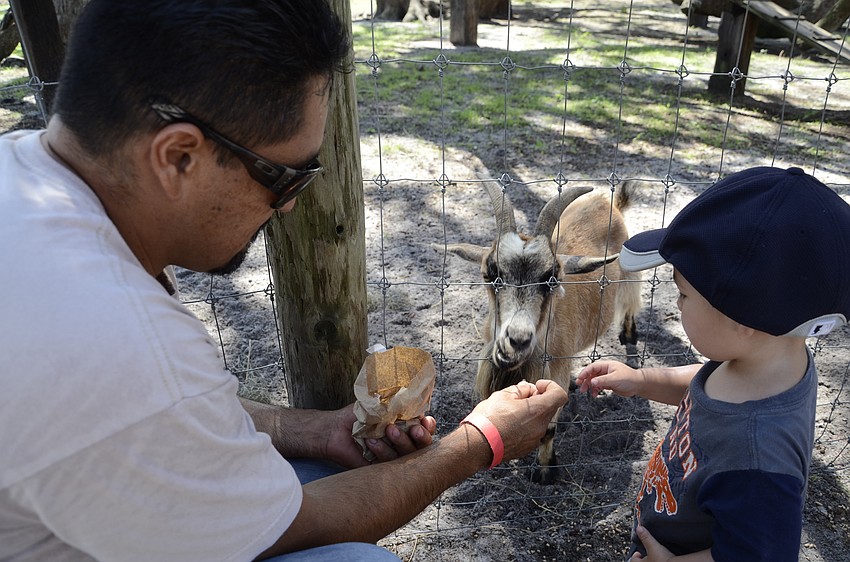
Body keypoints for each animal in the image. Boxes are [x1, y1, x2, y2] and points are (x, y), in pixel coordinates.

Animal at [444, 182, 641, 484]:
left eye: (551, 279)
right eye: (490, 274)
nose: (516, 341)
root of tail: (609, 202)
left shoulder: (552, 374)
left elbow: (548, 428)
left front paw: (545, 471)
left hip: (630, 275)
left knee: (631, 302)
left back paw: (629, 335)